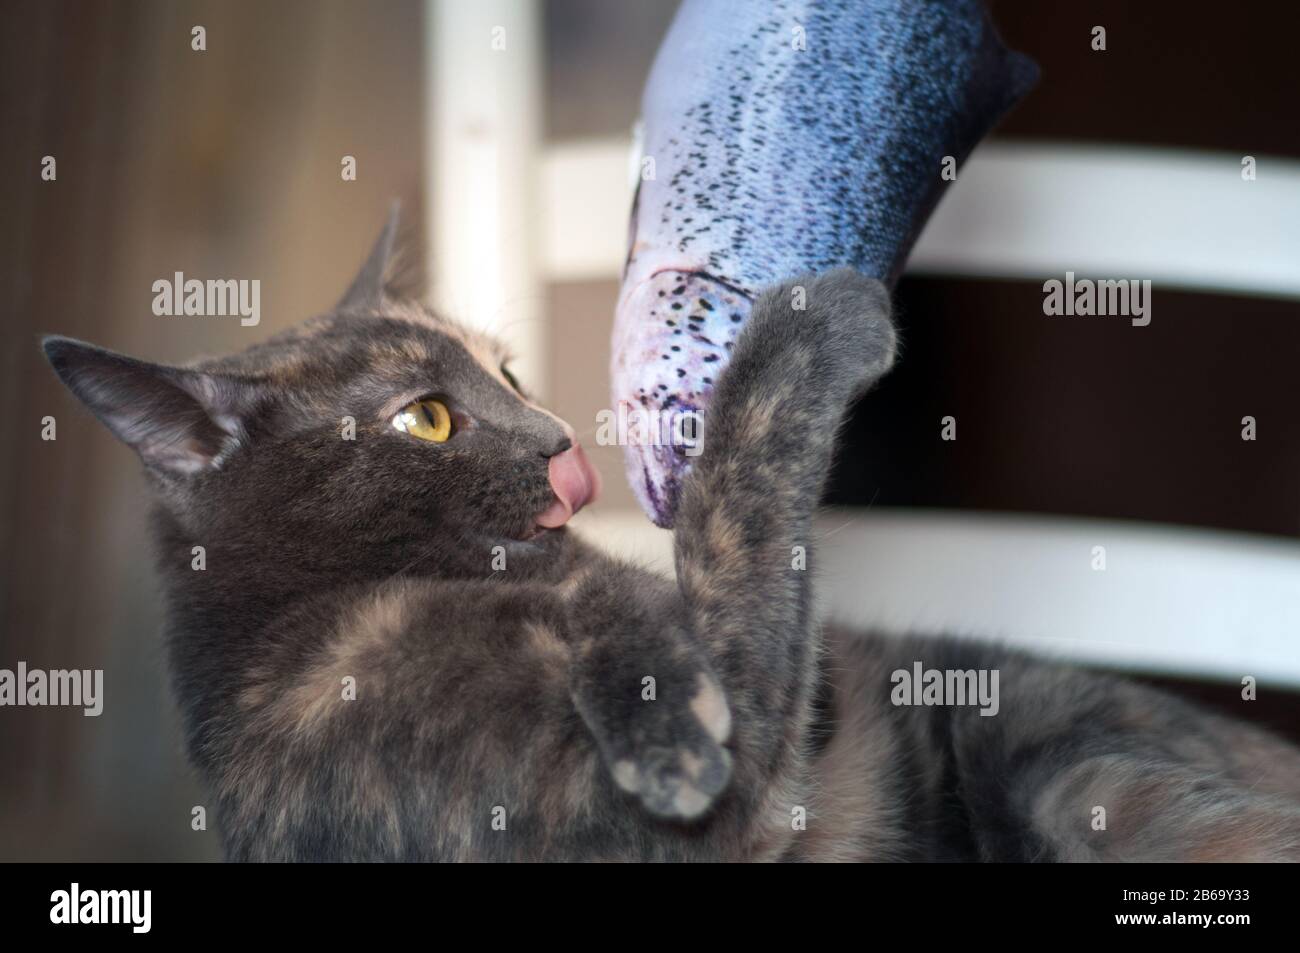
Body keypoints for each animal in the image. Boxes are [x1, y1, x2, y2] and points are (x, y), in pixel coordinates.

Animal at [40, 211, 1300, 858]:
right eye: (426, 417)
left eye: (504, 370)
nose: (561, 440)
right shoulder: (684, 823)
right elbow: (731, 508)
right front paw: (811, 312)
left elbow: (670, 581)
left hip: (1074, 766)